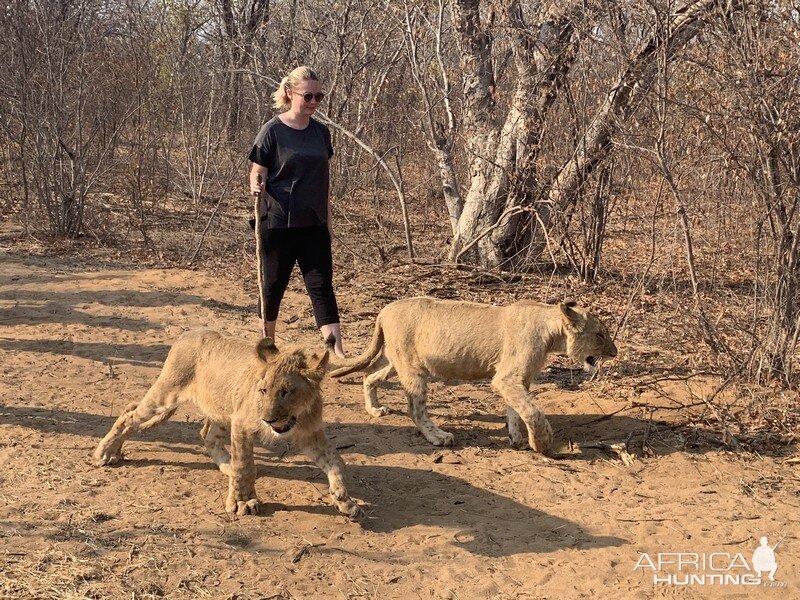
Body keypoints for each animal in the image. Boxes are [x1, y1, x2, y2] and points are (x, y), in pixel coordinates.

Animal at [94, 326, 366, 516]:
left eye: (287, 392)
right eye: (263, 390)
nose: (268, 419)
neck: (296, 416)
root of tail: (186, 334)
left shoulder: (308, 434)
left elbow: (335, 461)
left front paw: (345, 501)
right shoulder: (243, 423)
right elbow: (246, 465)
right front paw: (243, 502)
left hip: (223, 410)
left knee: (207, 435)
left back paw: (227, 467)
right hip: (168, 392)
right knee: (130, 414)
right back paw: (104, 453)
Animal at [332, 296, 620, 454]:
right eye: (600, 335)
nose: (615, 352)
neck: (551, 331)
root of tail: (383, 310)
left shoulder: (517, 380)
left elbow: (516, 410)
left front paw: (517, 438)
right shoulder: (507, 378)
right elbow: (534, 412)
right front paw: (542, 444)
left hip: (397, 361)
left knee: (369, 376)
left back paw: (374, 409)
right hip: (412, 368)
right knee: (415, 409)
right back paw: (438, 436)